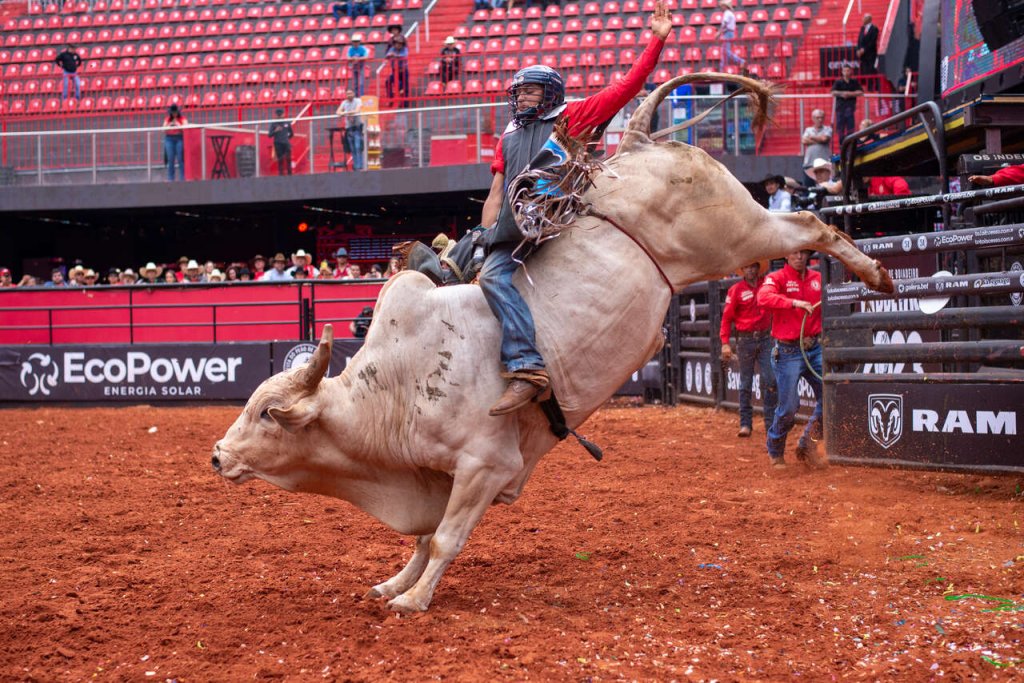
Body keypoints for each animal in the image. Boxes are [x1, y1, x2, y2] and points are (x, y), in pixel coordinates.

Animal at [211, 74, 892, 614]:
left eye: (268, 412)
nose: (217, 457)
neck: (398, 388)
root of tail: (635, 144)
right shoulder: (432, 476)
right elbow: (424, 537)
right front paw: (393, 582)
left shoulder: (485, 465)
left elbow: (447, 537)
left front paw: (414, 598)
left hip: (735, 232)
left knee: (808, 223)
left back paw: (876, 273)